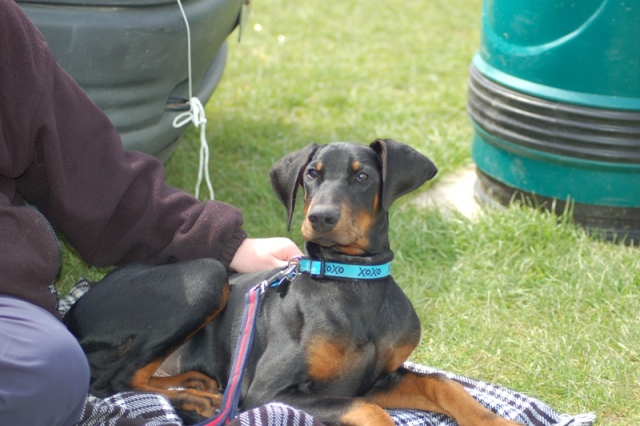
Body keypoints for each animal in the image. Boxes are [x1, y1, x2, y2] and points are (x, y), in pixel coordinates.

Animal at [63, 141, 520, 426]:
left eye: (362, 177)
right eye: (312, 174)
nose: (321, 217)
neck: (352, 281)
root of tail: (72, 315)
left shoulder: (377, 380)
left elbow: (442, 384)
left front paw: (495, 420)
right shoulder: (269, 391)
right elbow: (368, 411)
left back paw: (197, 383)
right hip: (207, 275)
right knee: (113, 381)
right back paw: (198, 400)